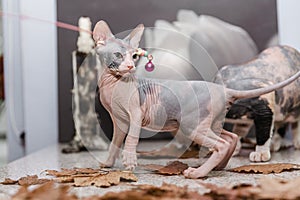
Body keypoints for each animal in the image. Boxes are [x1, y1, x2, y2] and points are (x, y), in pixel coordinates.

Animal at [93, 21, 300, 179]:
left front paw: (129, 162)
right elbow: (114, 143)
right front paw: (108, 163)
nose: (130, 67)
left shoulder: (135, 115)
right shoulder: (119, 121)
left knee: (222, 144)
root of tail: (222, 89)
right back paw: (217, 166)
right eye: (118, 55)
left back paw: (198, 173)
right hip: (210, 122)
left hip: (191, 125)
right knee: (231, 138)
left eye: (134, 56)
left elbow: (131, 139)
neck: (113, 83)